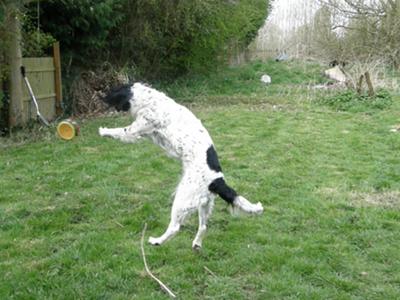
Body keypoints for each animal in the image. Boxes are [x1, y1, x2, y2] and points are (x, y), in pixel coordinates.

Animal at [99, 82, 264, 248]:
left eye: (111, 92)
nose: (101, 97)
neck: (149, 100)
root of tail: (217, 180)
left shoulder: (135, 129)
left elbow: (119, 131)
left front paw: (103, 131)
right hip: (204, 204)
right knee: (203, 227)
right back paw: (196, 245)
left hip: (182, 199)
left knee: (175, 227)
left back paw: (157, 241)